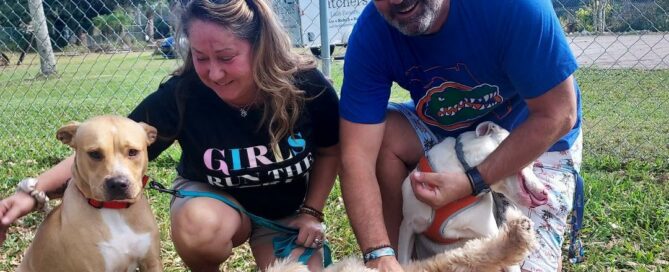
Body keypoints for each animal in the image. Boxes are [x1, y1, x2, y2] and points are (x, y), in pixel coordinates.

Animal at [396, 122, 548, 270]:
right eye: (530, 162)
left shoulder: (492, 233)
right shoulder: (407, 225)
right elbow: (402, 262)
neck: (462, 167)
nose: (546, 194)